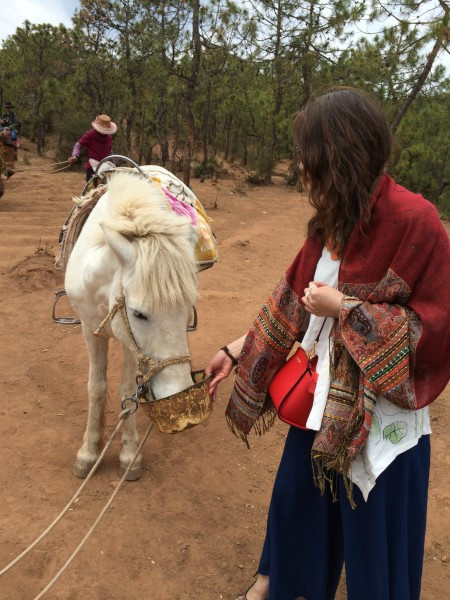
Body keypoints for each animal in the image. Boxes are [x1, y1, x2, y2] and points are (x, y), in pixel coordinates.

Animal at [65, 170, 199, 480]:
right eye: (138, 314)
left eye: (187, 308)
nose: (179, 392)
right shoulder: (91, 330)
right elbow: (96, 387)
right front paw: (89, 452)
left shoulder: (129, 343)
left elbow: (127, 390)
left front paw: (129, 456)